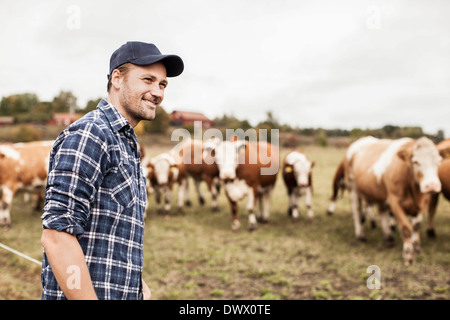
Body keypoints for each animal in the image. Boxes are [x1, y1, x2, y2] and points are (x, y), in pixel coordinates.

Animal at [346, 136, 442, 264]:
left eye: (439, 161)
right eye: (415, 161)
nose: (431, 186)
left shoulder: (423, 203)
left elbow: (416, 226)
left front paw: (416, 248)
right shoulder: (395, 202)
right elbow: (406, 228)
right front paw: (408, 255)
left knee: (381, 212)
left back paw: (388, 237)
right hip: (353, 188)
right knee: (356, 211)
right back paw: (360, 235)